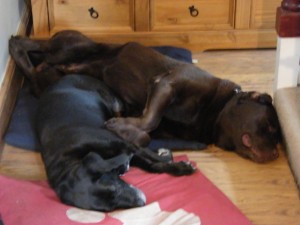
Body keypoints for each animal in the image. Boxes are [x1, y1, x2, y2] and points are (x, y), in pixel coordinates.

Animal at [9, 30, 282, 163]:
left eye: (278, 138)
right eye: (269, 127)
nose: (276, 155)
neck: (216, 110)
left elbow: (144, 134)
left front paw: (122, 130)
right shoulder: (166, 84)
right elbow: (150, 119)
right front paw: (120, 126)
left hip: (54, 72)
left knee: (35, 70)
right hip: (74, 47)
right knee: (34, 46)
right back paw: (15, 41)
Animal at [35, 74, 195, 212]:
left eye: (113, 188)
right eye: (109, 209)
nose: (142, 202)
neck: (71, 159)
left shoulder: (124, 144)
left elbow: (152, 157)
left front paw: (176, 164)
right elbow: (153, 166)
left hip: (115, 104)